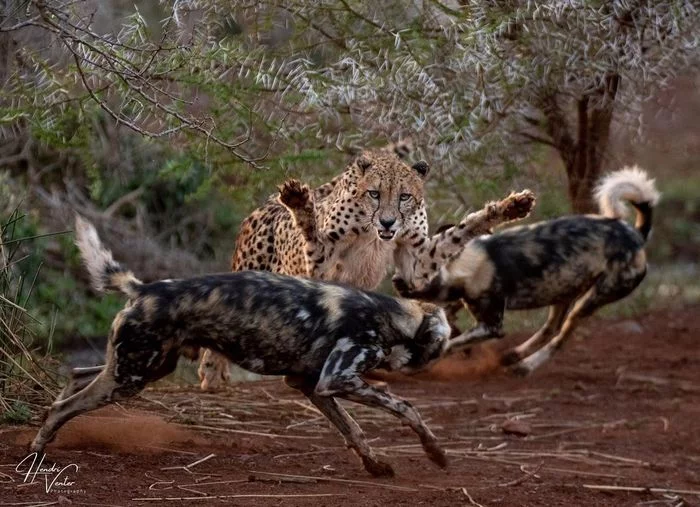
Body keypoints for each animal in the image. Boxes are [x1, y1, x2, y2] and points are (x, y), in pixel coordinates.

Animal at [394, 168, 660, 378]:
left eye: (420, 267)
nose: (396, 280)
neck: (472, 262)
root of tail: (636, 235)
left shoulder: (491, 326)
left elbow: (450, 343)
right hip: (562, 291)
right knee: (550, 329)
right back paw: (514, 357)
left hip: (590, 300)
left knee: (562, 335)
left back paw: (527, 366)